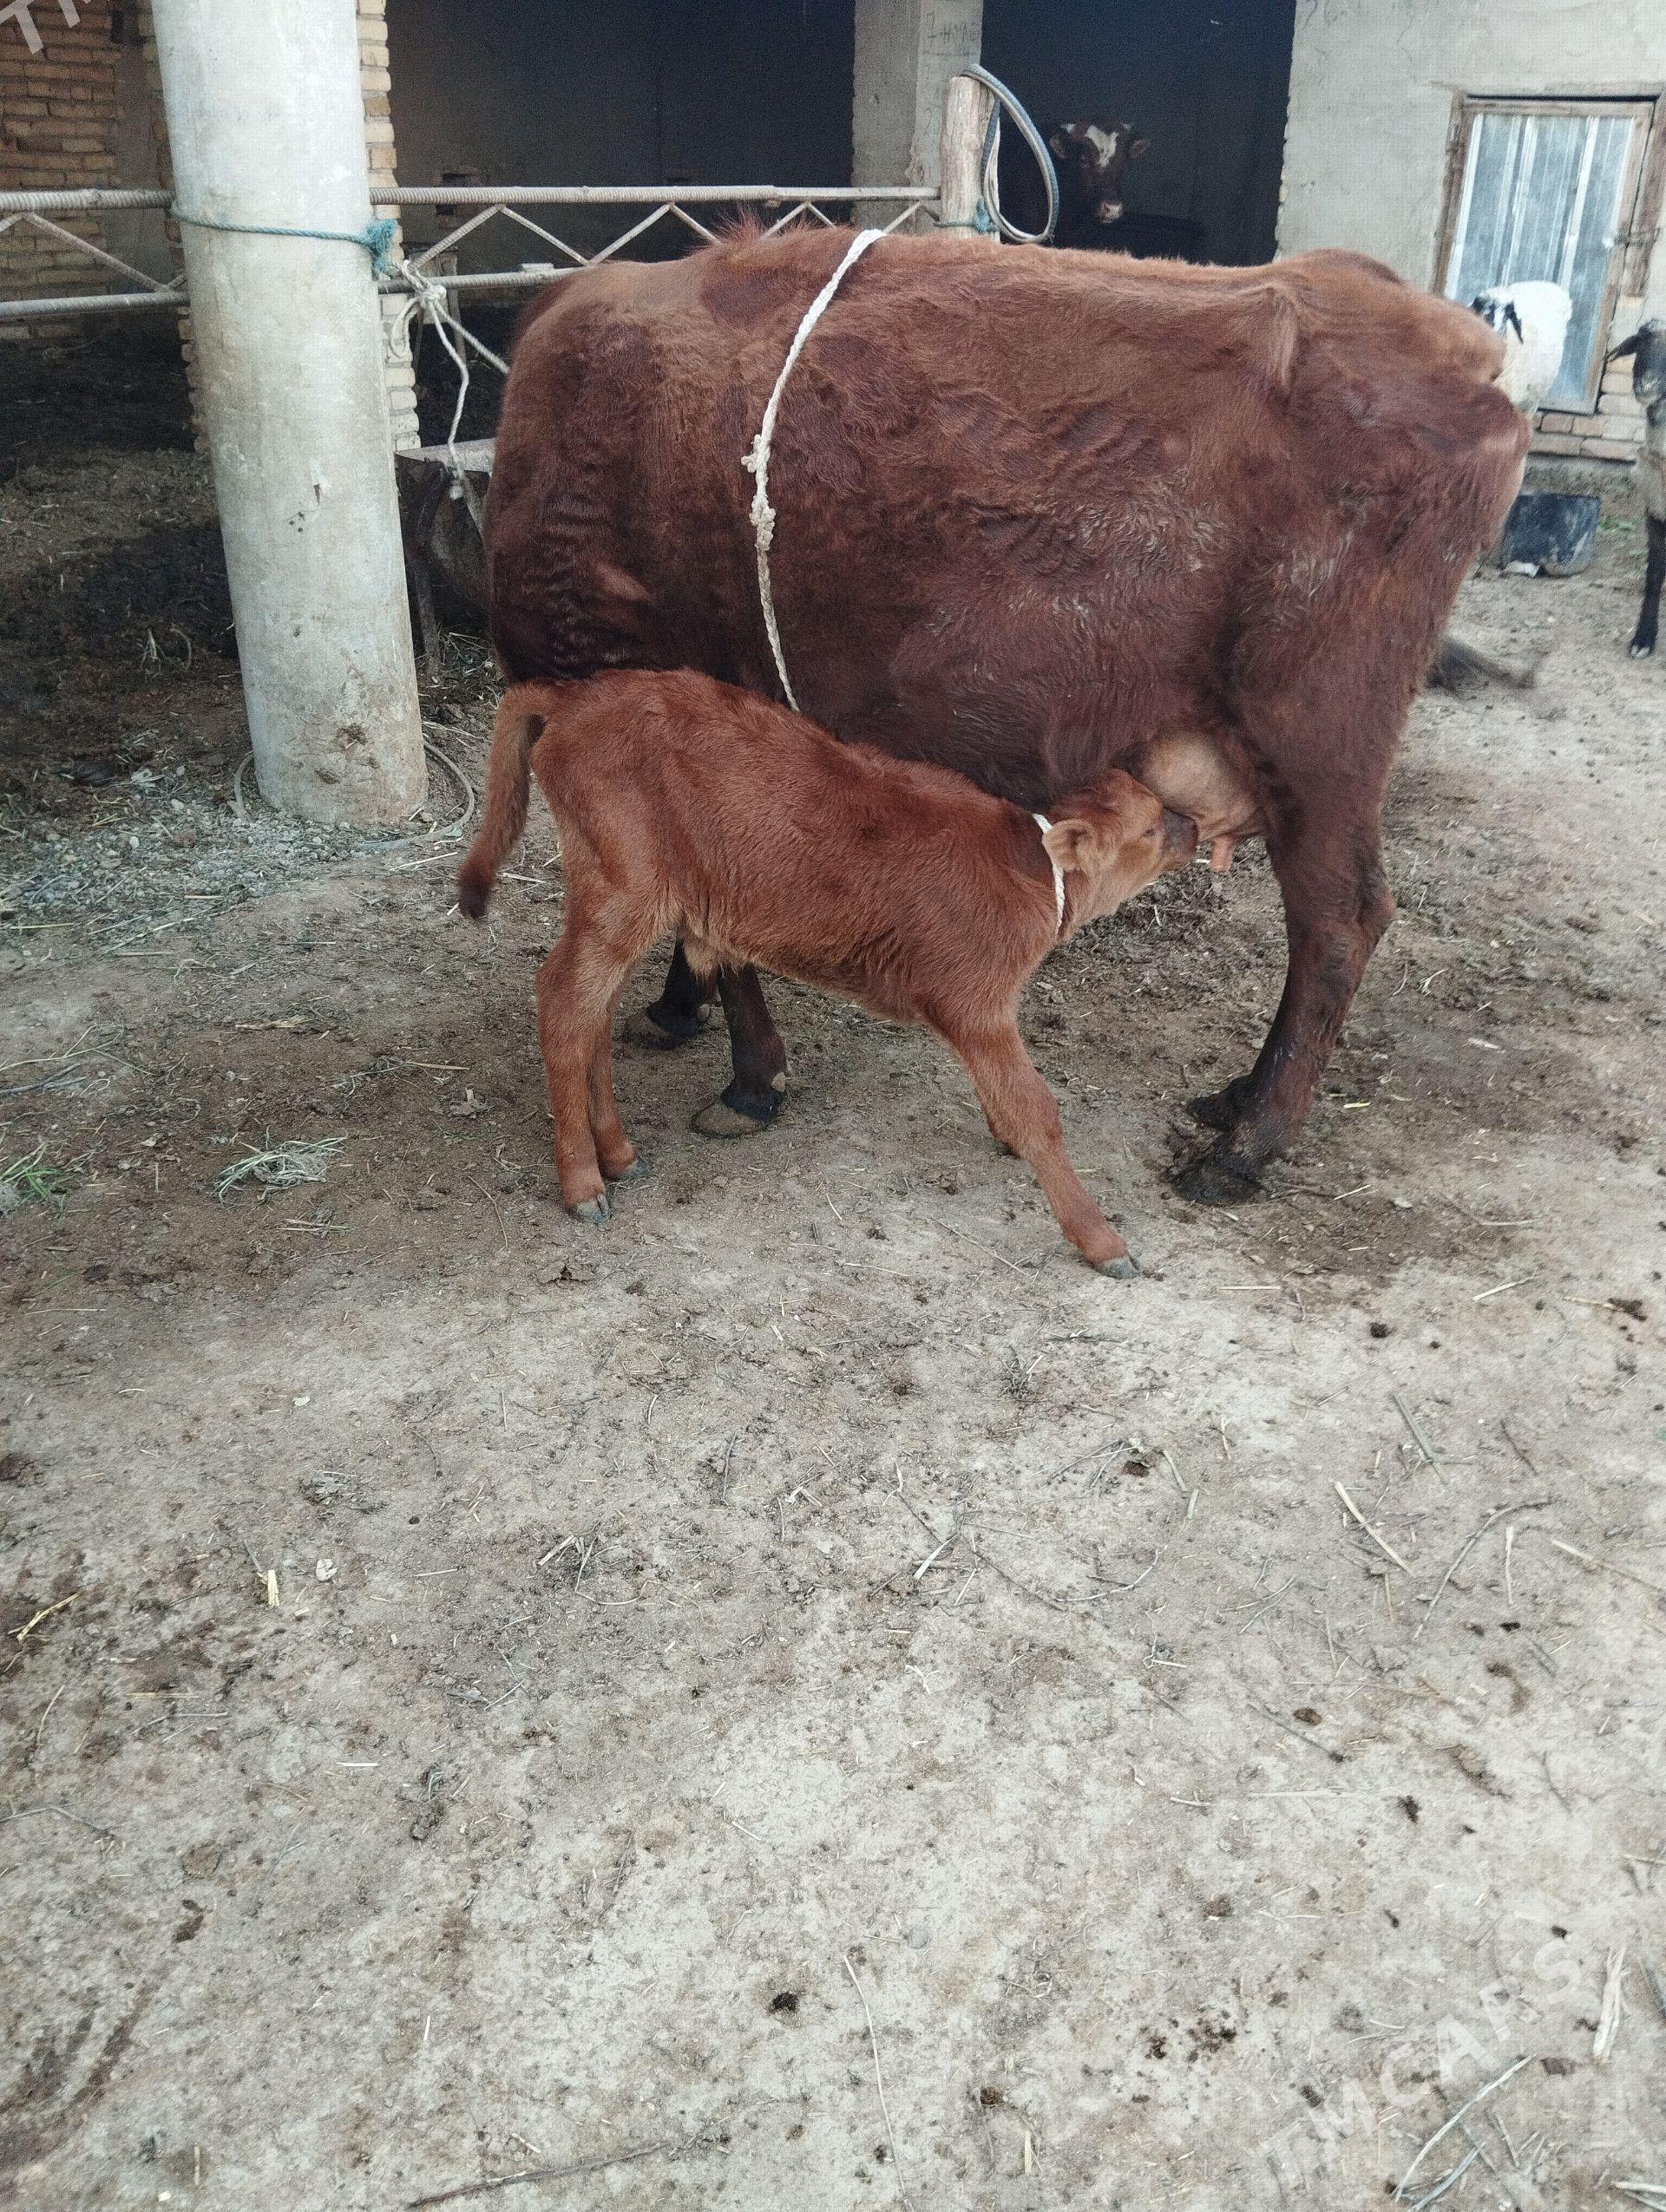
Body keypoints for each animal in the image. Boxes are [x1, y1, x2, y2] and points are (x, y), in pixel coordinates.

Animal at [457, 671, 1199, 1274]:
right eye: (1151, 828)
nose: (1193, 825)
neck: (1029, 868)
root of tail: (574, 695)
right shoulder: (976, 1003)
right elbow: (1037, 1108)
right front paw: (1103, 1241)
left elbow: (1009, 1098)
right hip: (620, 892)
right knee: (562, 1002)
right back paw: (583, 1183)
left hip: (618, 900)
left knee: (595, 1012)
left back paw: (617, 1153)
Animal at [485, 226, 1531, 1204]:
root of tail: (1460, 349)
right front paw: (679, 1007)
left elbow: (721, 928)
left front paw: (749, 1078)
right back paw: (1235, 1101)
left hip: (1314, 749)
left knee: (1339, 925)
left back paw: (1245, 1144)